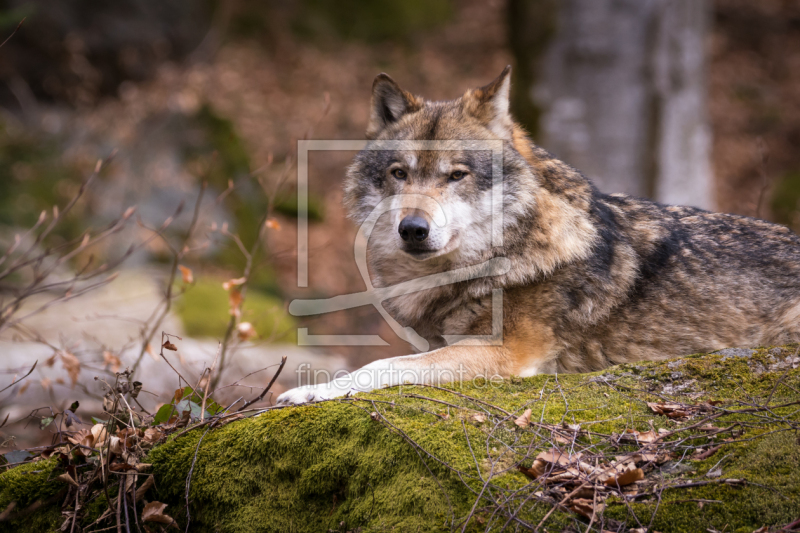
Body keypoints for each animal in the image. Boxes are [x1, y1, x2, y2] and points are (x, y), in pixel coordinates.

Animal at [276, 65, 800, 404]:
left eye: (457, 175)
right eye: (399, 174)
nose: (413, 229)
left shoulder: (504, 353)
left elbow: (381, 366)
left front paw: (312, 390)